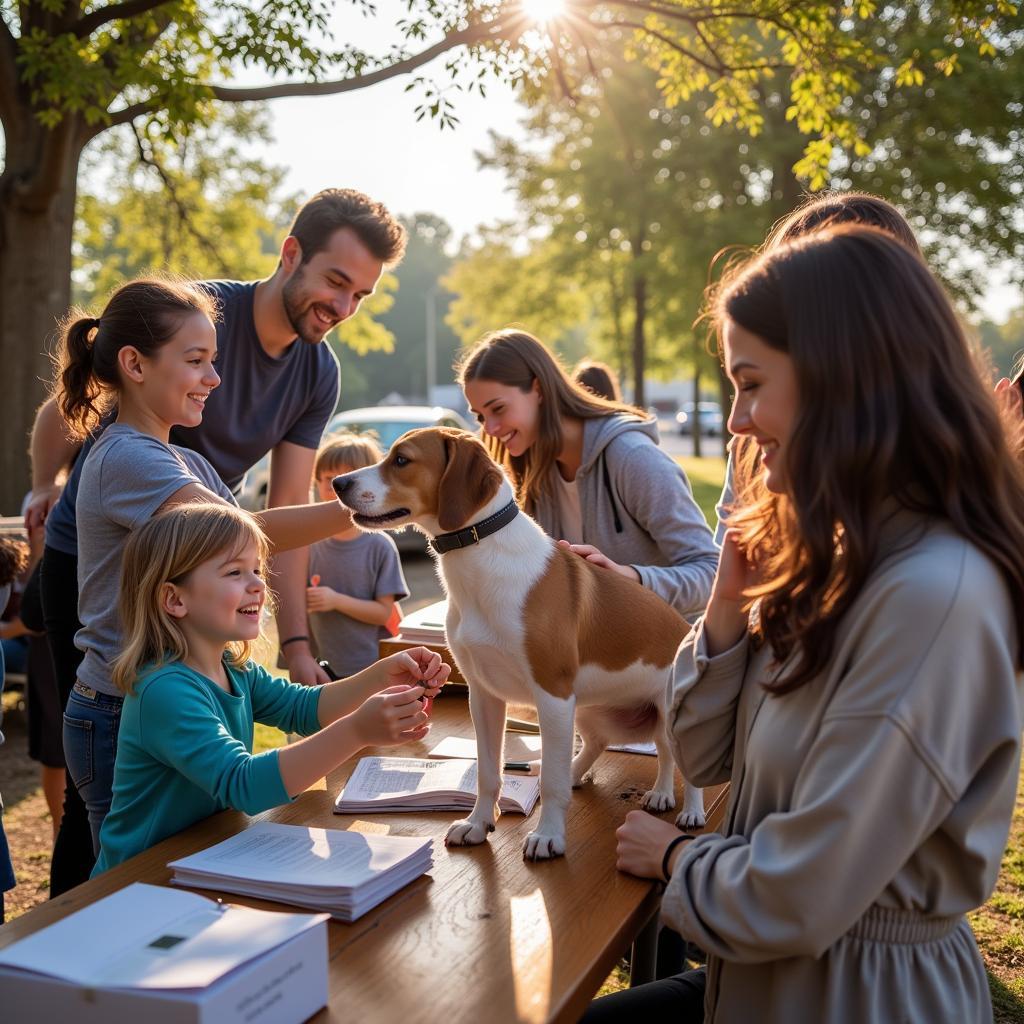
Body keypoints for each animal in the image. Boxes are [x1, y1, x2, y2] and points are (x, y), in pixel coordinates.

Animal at [335, 428, 704, 860]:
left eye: (401, 460)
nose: (338, 483)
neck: (478, 557)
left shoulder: (553, 695)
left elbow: (551, 785)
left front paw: (549, 835)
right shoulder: (484, 696)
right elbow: (488, 772)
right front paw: (479, 823)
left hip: (660, 714)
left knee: (671, 756)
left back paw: (678, 801)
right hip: (585, 710)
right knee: (598, 743)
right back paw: (579, 771)